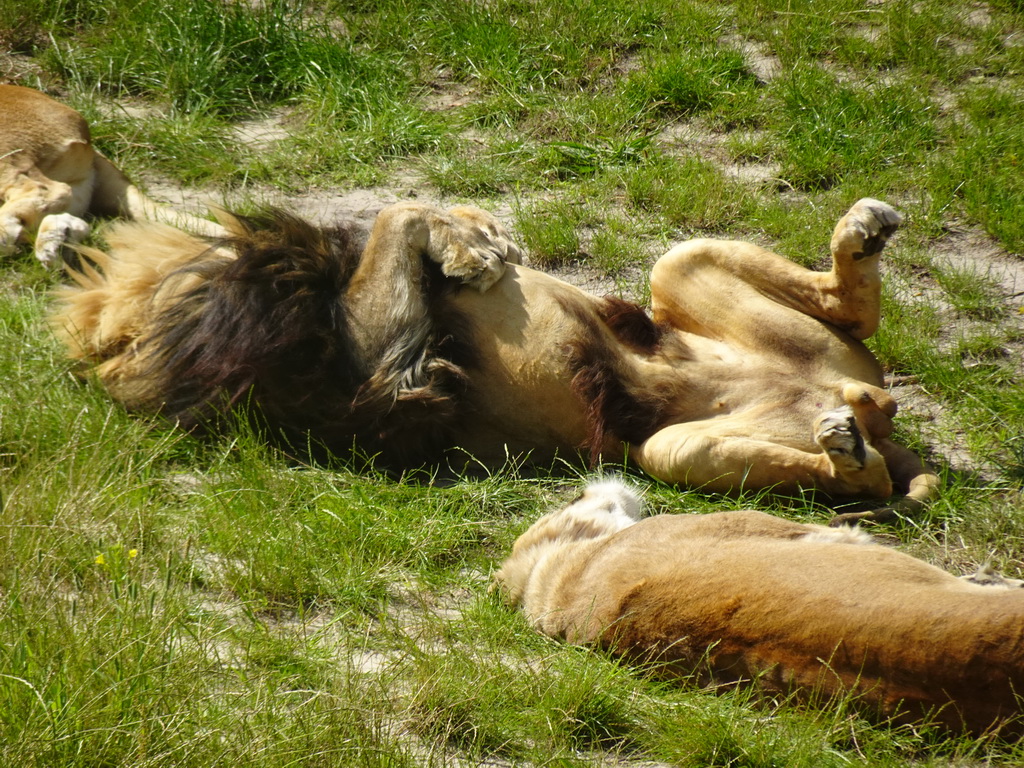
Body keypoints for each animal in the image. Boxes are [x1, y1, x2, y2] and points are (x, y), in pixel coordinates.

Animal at [54, 198, 937, 524]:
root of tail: (876, 413)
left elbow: (398, 211)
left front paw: (474, 233)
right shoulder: (387, 374)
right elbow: (395, 215)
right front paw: (469, 247)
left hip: (693, 278)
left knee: (846, 312)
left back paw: (861, 237)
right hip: (671, 450)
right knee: (864, 481)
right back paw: (846, 446)